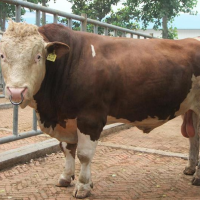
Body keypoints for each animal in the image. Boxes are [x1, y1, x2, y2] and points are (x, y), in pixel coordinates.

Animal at [0, 20, 200, 198]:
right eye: (2, 56)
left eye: (38, 56)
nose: (16, 91)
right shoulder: (67, 117)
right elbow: (66, 148)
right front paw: (66, 177)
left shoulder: (90, 118)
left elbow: (84, 154)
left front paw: (83, 186)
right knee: (194, 138)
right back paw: (191, 169)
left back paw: (197, 177)